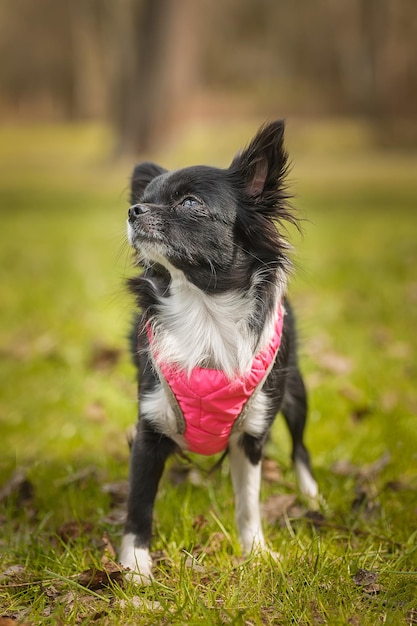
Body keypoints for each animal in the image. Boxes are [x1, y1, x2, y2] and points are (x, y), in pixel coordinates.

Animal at [118, 120, 316, 580]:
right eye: (144, 199)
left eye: (190, 203)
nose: (134, 211)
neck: (204, 312)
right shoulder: (149, 430)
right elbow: (139, 505)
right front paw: (135, 568)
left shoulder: (252, 436)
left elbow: (248, 503)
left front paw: (257, 553)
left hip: (295, 393)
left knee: (300, 447)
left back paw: (312, 495)